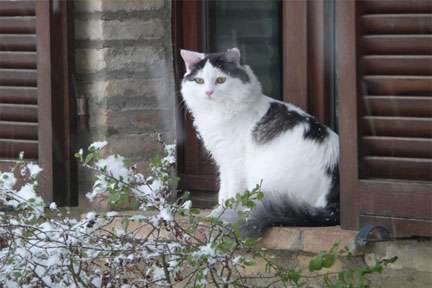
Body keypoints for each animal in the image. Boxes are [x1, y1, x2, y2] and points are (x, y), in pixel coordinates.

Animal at [181, 47, 340, 236]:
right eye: (199, 81)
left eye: (220, 80)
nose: (208, 92)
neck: (216, 113)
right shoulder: (224, 162)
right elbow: (223, 190)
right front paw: (218, 212)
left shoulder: (234, 162)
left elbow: (231, 193)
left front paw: (224, 215)